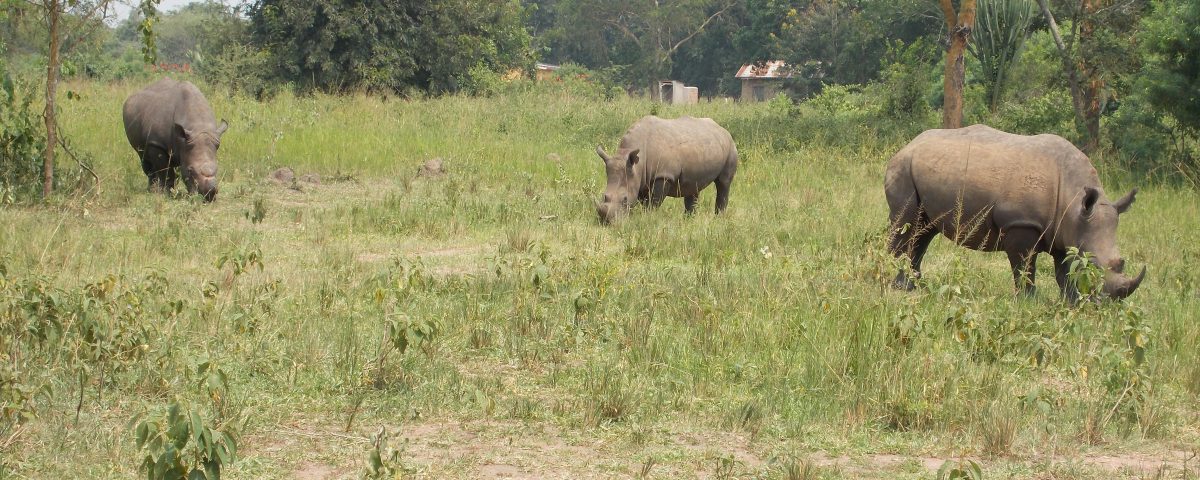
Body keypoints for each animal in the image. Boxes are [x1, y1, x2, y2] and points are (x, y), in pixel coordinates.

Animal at [595, 115, 738, 224]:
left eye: (625, 199)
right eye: (604, 196)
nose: (607, 222)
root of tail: (723, 129)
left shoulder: (663, 176)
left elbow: (653, 203)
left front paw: (648, 219)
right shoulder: (640, 179)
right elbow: (643, 201)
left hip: (731, 147)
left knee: (723, 183)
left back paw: (718, 219)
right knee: (693, 186)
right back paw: (688, 222)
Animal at [884, 124, 1144, 302]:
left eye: (1121, 263)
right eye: (1093, 265)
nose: (1108, 302)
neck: (1073, 202)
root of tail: (905, 146)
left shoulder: (1065, 231)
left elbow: (1065, 271)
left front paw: (1069, 303)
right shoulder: (1021, 223)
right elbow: (1024, 266)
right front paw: (1029, 301)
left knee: (923, 232)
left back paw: (914, 286)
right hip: (903, 168)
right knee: (906, 226)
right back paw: (896, 286)